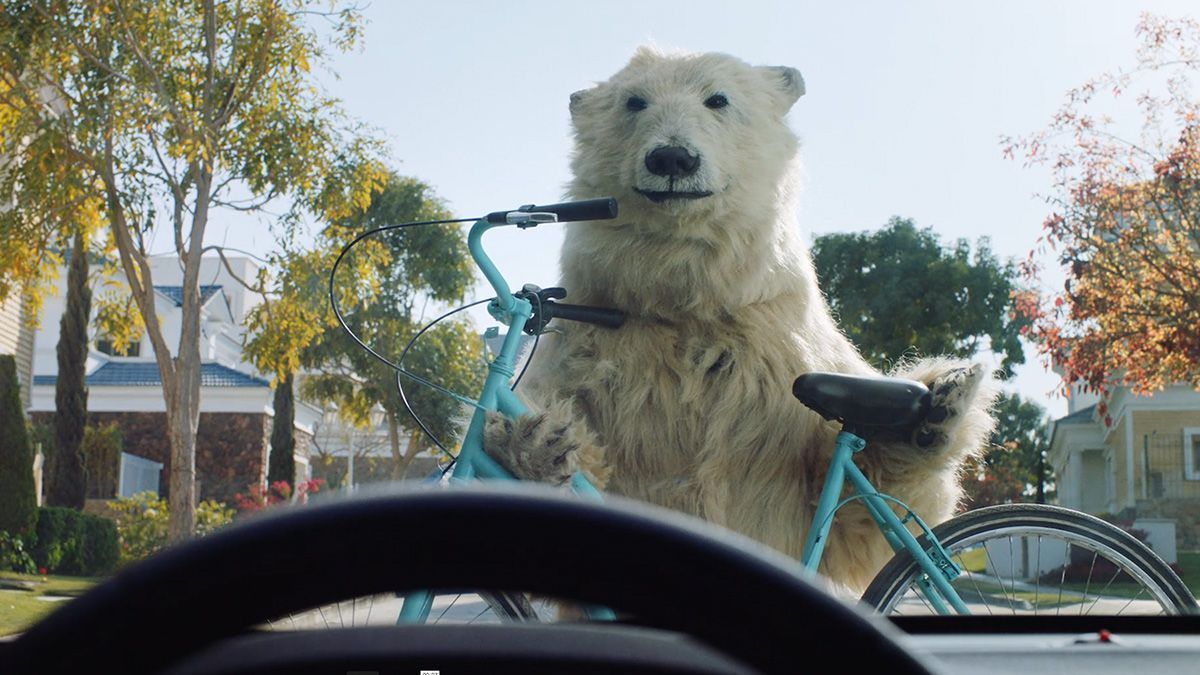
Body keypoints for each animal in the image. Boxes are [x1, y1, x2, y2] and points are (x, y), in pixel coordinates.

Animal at [483, 47, 998, 594]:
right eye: (634, 101)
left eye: (718, 99)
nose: (672, 158)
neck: (686, 302)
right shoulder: (585, 347)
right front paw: (534, 442)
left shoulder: (787, 358)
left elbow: (854, 522)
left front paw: (925, 421)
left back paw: (943, 406)